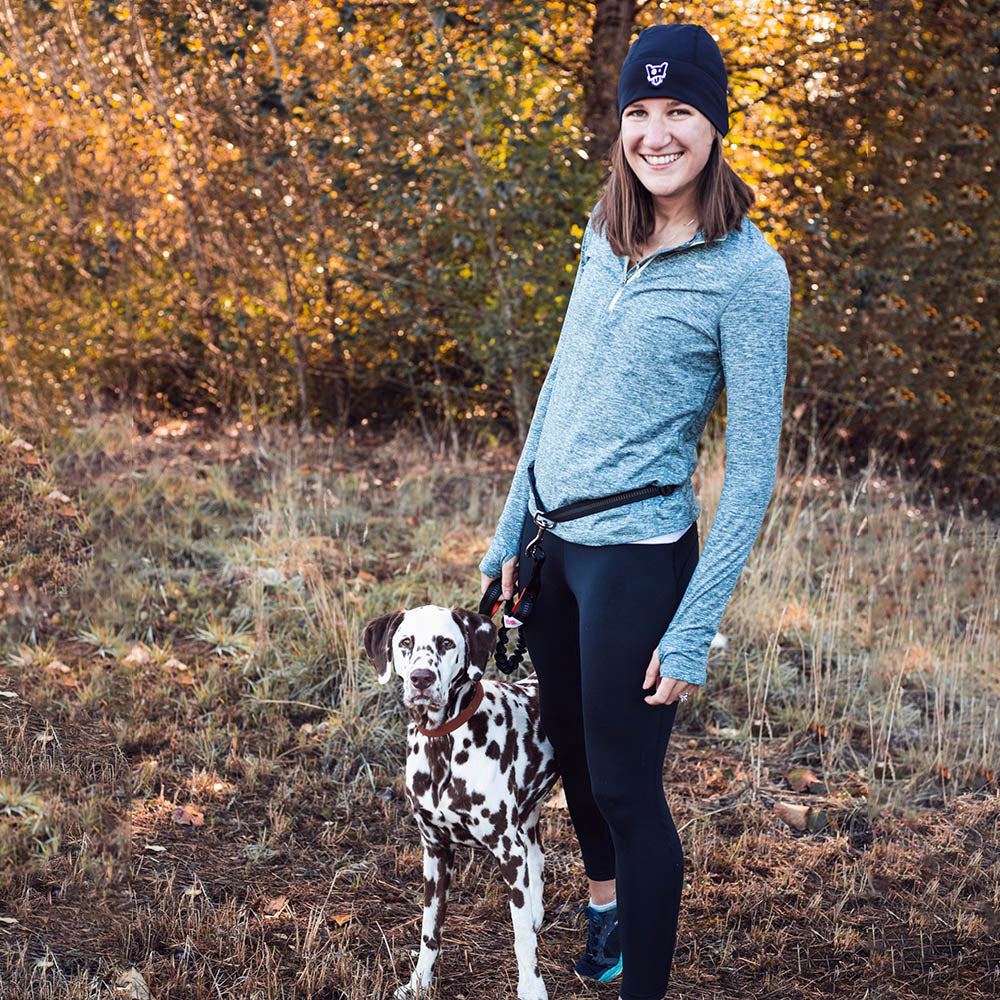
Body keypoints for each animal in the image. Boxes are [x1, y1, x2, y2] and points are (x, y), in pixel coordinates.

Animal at [364, 604, 560, 996]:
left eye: (445, 642)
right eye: (405, 642)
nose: (421, 679)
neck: (444, 743)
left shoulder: (507, 853)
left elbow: (521, 939)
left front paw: (532, 989)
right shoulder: (435, 853)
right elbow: (430, 931)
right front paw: (419, 982)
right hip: (527, 815)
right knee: (537, 855)